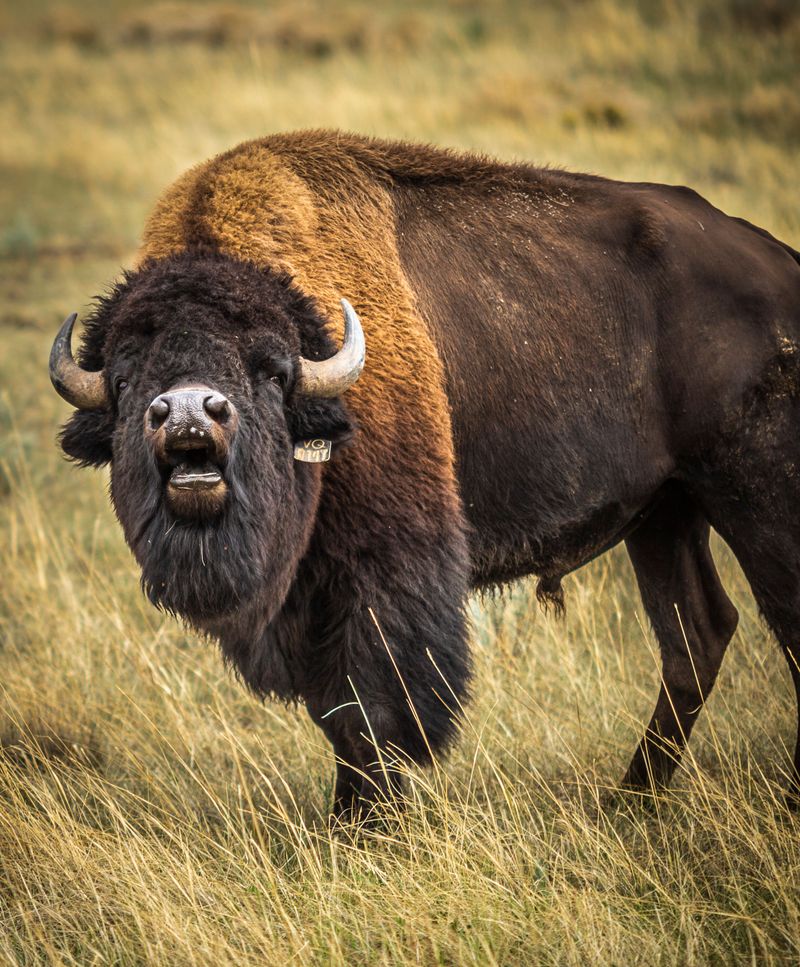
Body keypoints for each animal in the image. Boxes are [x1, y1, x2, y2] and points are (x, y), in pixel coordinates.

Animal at [50, 131, 800, 817]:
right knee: (695, 636)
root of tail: (782, 267)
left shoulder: (386, 579)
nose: (186, 415)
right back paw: (631, 799)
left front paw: (371, 825)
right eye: (124, 377)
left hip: (752, 497)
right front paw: (351, 821)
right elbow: (338, 713)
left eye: (271, 370)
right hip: (666, 513)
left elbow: (375, 707)